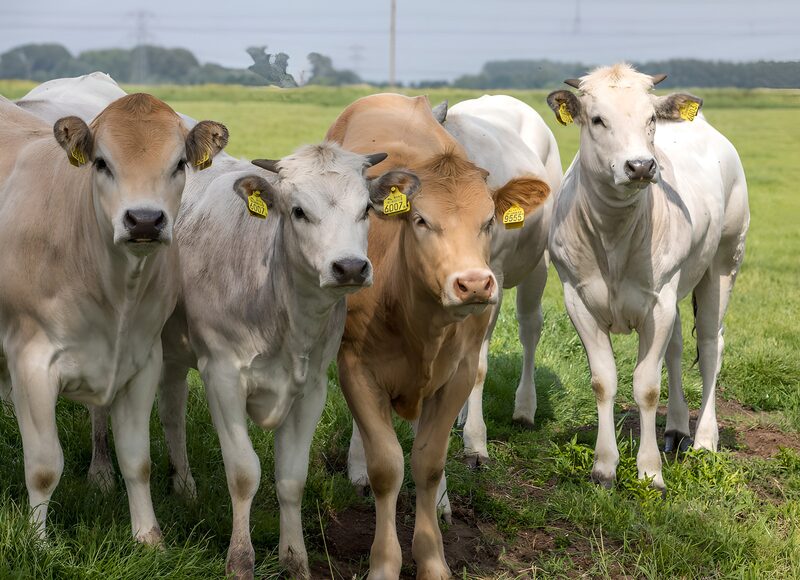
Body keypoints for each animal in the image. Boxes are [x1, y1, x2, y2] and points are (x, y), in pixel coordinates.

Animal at [0, 92, 228, 543]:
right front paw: (38, 542)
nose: (144, 220)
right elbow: (44, 467)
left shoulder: (143, 362)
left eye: (179, 163)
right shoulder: (31, 362)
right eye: (102, 162)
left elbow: (137, 460)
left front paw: (149, 537)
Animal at [327, 93, 550, 579]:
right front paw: (384, 562)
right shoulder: (355, 367)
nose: (473, 284)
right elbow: (387, 466)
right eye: (422, 221)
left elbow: (428, 462)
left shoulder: (458, 374)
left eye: (489, 222)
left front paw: (432, 556)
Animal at [546, 63, 749, 490]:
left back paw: (704, 440)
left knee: (711, 346)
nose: (640, 166)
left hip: (725, 261)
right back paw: (676, 429)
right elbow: (603, 381)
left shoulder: (658, 303)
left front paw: (650, 471)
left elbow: (646, 386)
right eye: (597, 119)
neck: (614, 235)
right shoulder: (578, 299)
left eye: (650, 118)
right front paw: (604, 467)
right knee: (676, 348)